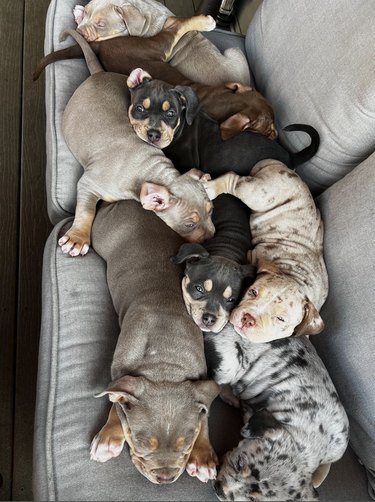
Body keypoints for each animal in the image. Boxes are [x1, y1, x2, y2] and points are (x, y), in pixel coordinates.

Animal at [59, 20, 216, 255]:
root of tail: (98, 73)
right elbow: (86, 209)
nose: (212, 236)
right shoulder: (89, 183)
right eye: (189, 224)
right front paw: (78, 238)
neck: (154, 171)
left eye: (211, 210)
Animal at [90, 202, 220, 484]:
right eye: (140, 444)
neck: (164, 368)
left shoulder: (202, 381)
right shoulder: (119, 373)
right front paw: (109, 436)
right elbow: (116, 401)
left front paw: (202, 457)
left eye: (186, 444)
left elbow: (205, 415)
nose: (165, 479)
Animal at [204, 159, 330, 344]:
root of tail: (286, 168)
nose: (248, 319)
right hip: (261, 194)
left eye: (281, 319)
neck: (294, 277)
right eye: (252, 292)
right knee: (235, 180)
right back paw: (210, 188)